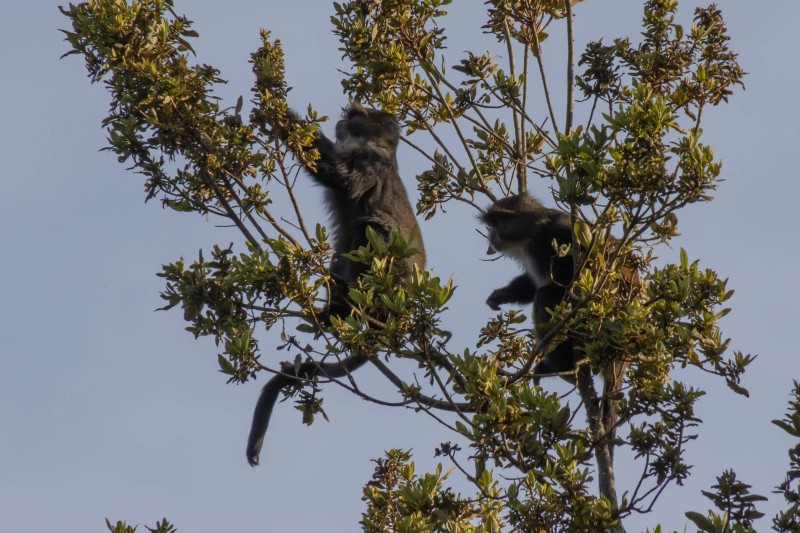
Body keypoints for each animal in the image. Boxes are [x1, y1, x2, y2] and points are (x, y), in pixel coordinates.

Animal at [247, 104, 424, 466]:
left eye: (358, 116)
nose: (344, 116)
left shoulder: (371, 163)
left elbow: (341, 178)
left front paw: (279, 115)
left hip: (393, 277)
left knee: (373, 227)